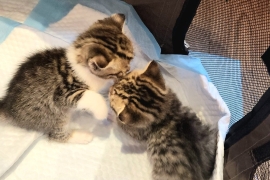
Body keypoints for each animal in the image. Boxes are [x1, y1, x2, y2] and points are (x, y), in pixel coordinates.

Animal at [0, 13, 133, 143]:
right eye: (120, 73)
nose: (128, 71)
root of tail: (7, 109)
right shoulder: (65, 91)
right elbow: (93, 97)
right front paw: (103, 112)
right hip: (55, 114)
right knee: (55, 135)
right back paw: (82, 136)